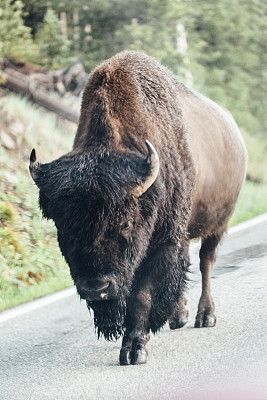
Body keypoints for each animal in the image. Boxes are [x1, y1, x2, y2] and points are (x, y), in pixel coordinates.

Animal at [28, 52, 248, 366]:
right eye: (62, 226)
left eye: (125, 223)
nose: (96, 288)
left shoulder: (163, 244)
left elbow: (141, 296)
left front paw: (134, 350)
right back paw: (179, 316)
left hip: (218, 224)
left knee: (206, 262)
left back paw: (205, 316)